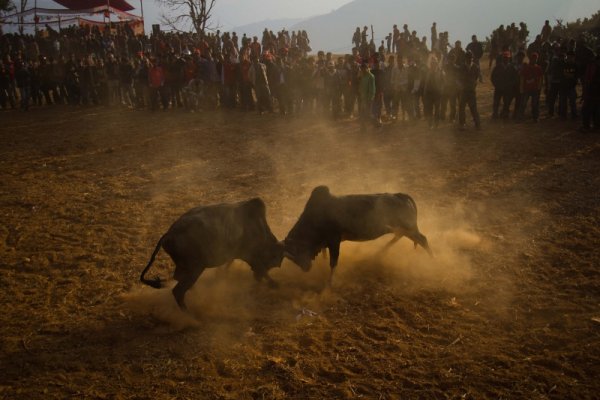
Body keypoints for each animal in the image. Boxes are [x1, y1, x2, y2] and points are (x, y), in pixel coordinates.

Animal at [141, 198, 284, 310]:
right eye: (271, 261)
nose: (257, 278)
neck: (258, 226)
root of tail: (168, 235)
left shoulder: (235, 254)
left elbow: (228, 263)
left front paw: (221, 275)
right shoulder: (248, 254)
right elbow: (259, 267)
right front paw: (274, 284)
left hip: (187, 268)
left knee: (179, 280)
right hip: (195, 269)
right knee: (178, 291)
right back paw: (192, 316)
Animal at [284, 186, 432, 280]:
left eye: (296, 251)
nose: (306, 268)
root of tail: (400, 196)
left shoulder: (334, 241)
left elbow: (333, 263)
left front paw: (329, 285)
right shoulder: (327, 243)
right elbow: (326, 256)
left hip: (409, 228)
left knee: (423, 239)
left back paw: (432, 261)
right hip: (403, 229)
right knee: (400, 236)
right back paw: (380, 252)